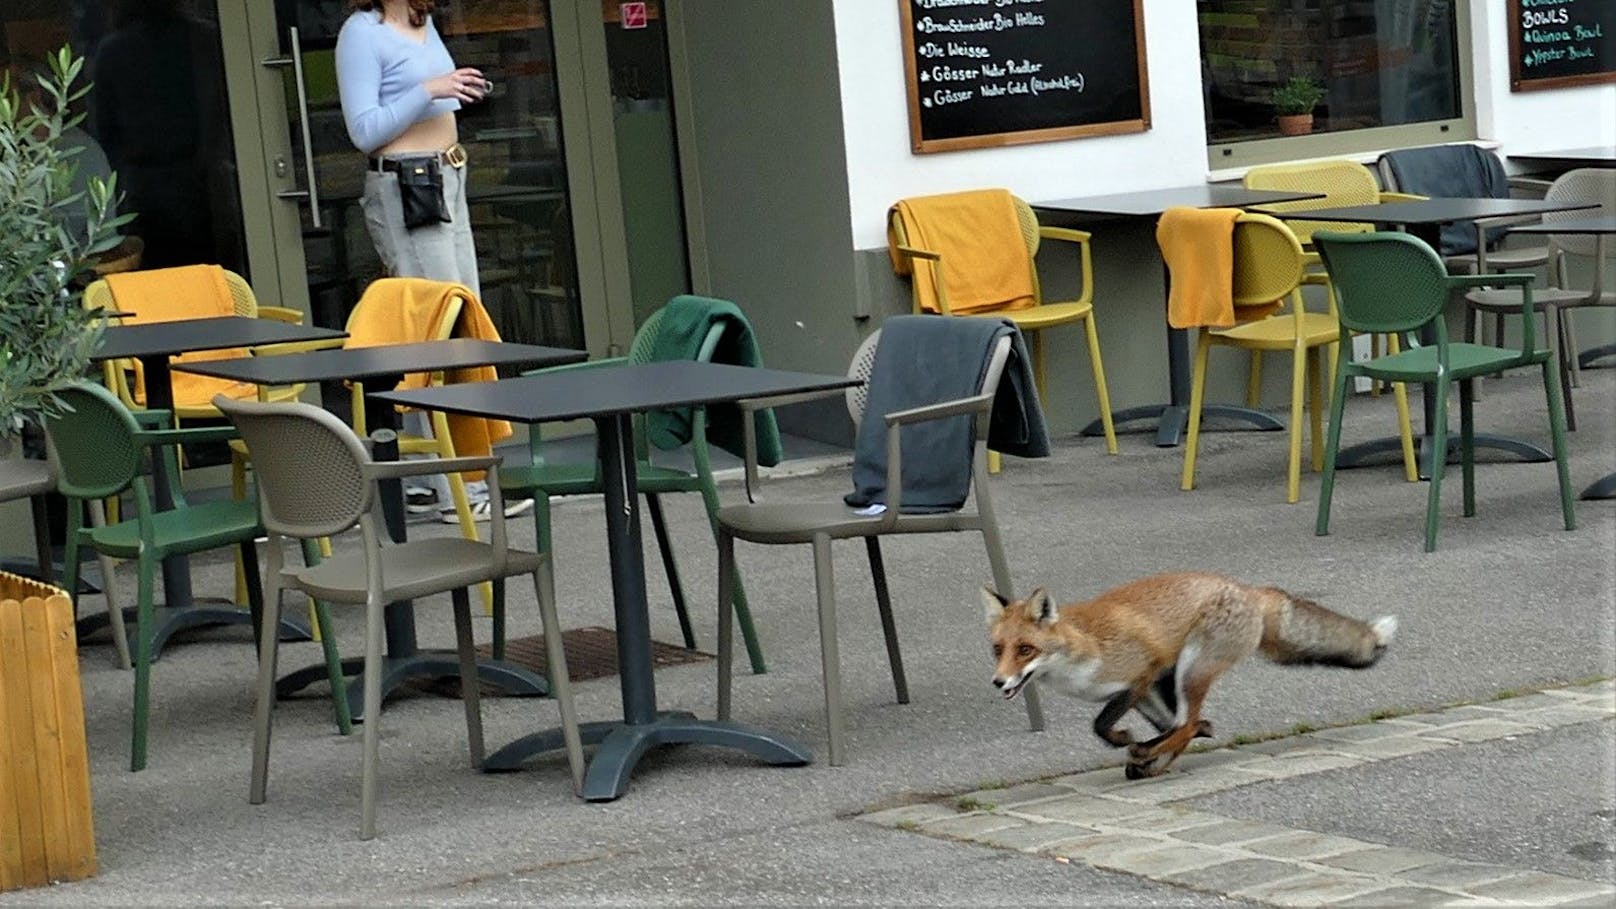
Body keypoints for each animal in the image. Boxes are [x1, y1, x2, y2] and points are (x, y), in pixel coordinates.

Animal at [976, 569, 1396, 776]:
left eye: (1025, 650)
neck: (1083, 649)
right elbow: (1149, 726)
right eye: (998, 650)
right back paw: (1155, 756)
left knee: (1187, 723)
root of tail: (1250, 589)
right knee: (1184, 724)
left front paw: (1125, 739)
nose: (998, 681)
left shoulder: (1143, 675)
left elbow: (1101, 724)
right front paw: (1140, 747)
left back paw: (1148, 754)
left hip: (1191, 670)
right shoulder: (1142, 691)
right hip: (1176, 679)